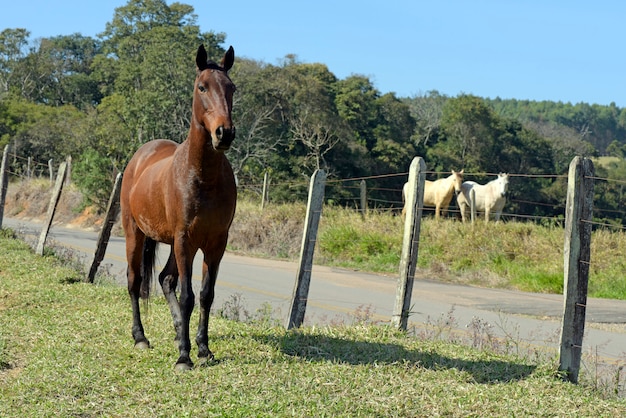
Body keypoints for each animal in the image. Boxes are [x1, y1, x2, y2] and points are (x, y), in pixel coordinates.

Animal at [118, 45, 235, 372]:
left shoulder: (215, 243)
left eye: (232, 88)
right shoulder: (185, 241)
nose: (224, 133)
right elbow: (187, 297)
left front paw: (203, 348)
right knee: (135, 282)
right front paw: (184, 356)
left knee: (164, 280)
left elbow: (206, 295)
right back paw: (141, 337)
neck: (202, 176)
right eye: (202, 87)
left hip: (175, 243)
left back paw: (176, 332)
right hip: (135, 234)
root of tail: (140, 156)